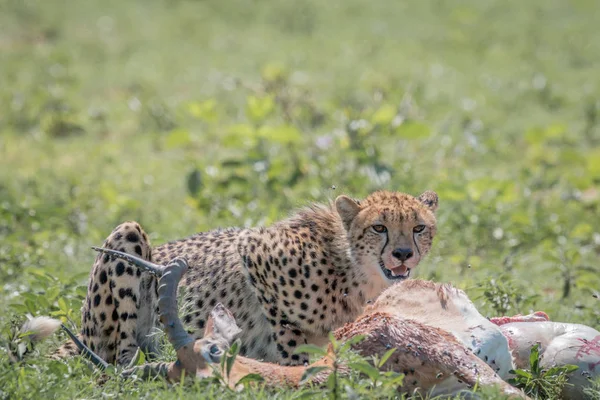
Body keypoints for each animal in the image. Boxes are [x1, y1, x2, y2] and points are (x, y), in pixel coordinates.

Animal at [58, 190, 438, 366]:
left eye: (419, 227)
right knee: (116, 357)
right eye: (379, 227)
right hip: (127, 236)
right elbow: (290, 342)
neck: (355, 270)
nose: (402, 254)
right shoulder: (254, 252)